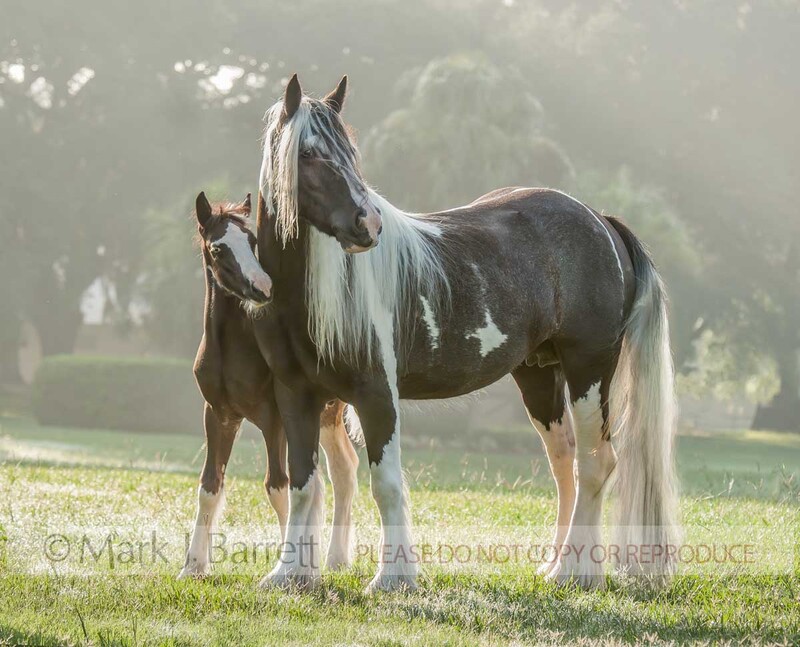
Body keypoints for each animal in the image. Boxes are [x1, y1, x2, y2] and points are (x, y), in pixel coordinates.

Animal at [178, 193, 361, 579]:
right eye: (218, 248)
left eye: (252, 241)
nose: (263, 288)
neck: (233, 349)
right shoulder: (218, 416)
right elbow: (209, 485)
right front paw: (193, 566)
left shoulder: (274, 420)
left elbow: (279, 487)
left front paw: (293, 568)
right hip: (322, 417)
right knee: (342, 471)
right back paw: (336, 560)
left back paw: (333, 558)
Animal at [246, 74, 679, 592]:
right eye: (309, 154)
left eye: (350, 151)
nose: (367, 224)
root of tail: (602, 221)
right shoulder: (296, 395)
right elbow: (303, 485)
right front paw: (288, 574)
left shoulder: (376, 394)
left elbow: (385, 484)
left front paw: (394, 578)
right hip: (539, 375)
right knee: (565, 465)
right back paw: (555, 563)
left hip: (589, 370)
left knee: (596, 464)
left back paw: (574, 572)